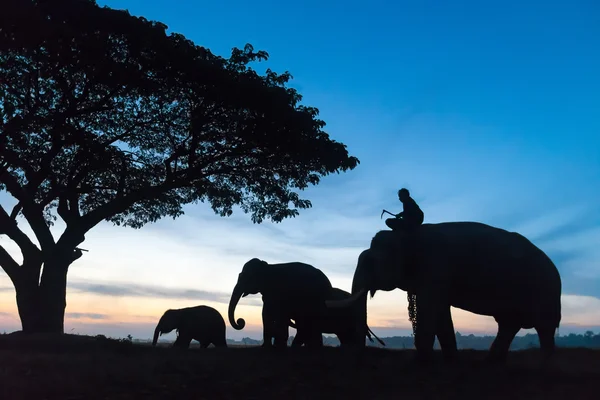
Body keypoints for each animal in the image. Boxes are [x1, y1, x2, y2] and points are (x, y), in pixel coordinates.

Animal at [326, 222, 560, 362]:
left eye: (370, 262)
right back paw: (492, 363)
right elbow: (440, 313)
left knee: (544, 328)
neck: (407, 234)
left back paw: (544, 368)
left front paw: (422, 361)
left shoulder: (435, 268)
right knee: (508, 324)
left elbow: (431, 309)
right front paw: (450, 360)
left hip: (544, 291)